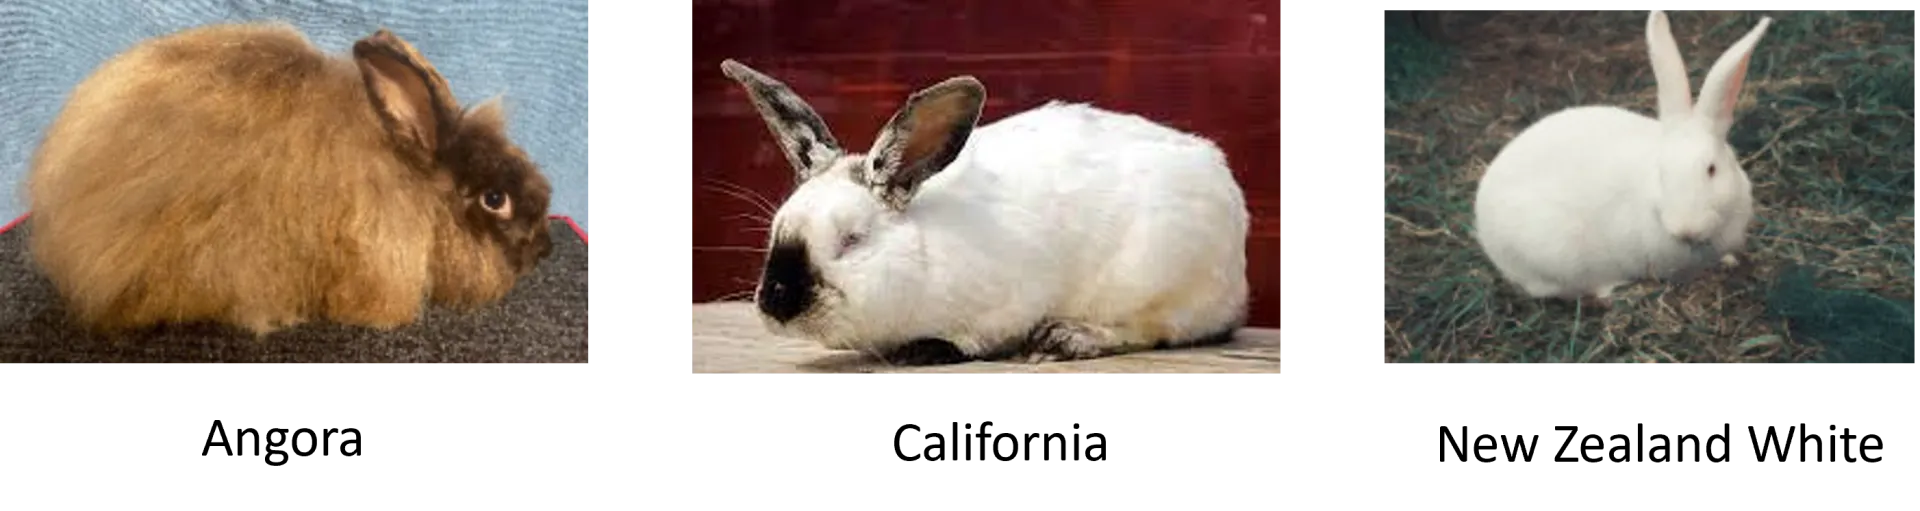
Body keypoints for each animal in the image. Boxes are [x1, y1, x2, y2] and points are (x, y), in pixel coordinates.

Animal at [719, 59, 1250, 363]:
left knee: (1157, 330)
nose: (777, 301)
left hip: (1156, 278)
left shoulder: (1008, 302)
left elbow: (977, 337)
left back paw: (1067, 338)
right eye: (776, 231)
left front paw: (926, 349)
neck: (923, 256)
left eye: (852, 239)